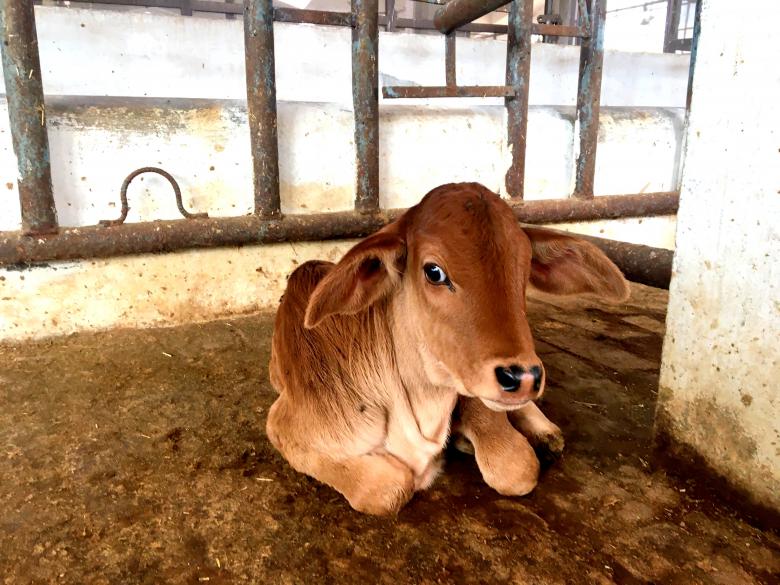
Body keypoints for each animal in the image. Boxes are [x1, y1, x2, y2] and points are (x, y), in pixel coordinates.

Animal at [266, 182, 629, 515]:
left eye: (524, 267)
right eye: (434, 271)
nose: (523, 377)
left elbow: (516, 467)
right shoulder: (284, 425)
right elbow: (390, 488)